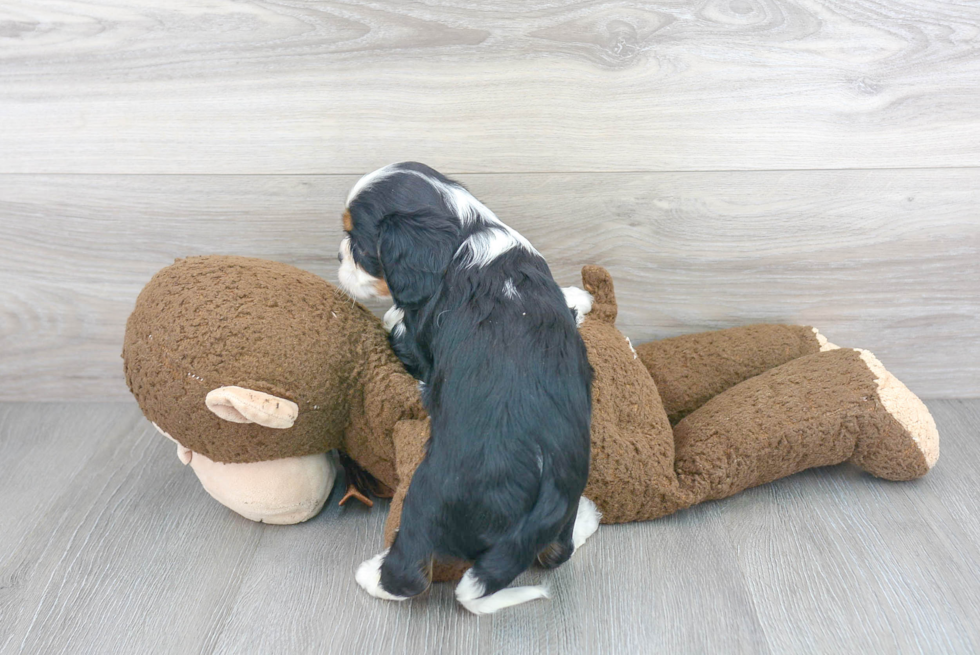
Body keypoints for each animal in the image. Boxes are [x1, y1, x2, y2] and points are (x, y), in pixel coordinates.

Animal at [334, 163, 596, 616]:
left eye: (359, 245)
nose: (337, 256)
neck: (465, 234)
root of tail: (542, 486)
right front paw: (577, 297)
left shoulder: (419, 337)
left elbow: (397, 324)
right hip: (563, 503)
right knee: (555, 553)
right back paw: (587, 521)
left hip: (426, 497)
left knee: (412, 571)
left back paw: (373, 576)